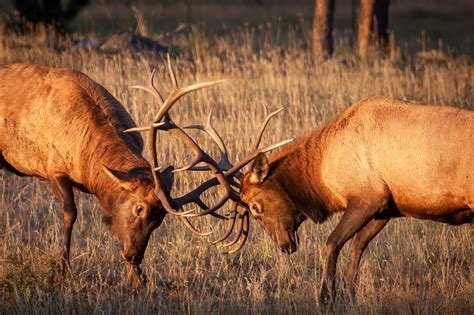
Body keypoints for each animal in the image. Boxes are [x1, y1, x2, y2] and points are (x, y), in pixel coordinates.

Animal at [0, 55, 290, 288]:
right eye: (138, 208)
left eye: (159, 219)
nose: (134, 255)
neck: (86, 161)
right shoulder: (54, 167)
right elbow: (69, 215)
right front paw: (62, 269)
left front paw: (137, 278)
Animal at [235, 96, 472, 304]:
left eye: (255, 207)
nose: (284, 246)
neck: (323, 170)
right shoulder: (386, 209)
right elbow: (356, 248)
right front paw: (350, 296)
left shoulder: (369, 198)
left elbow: (332, 244)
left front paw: (326, 298)